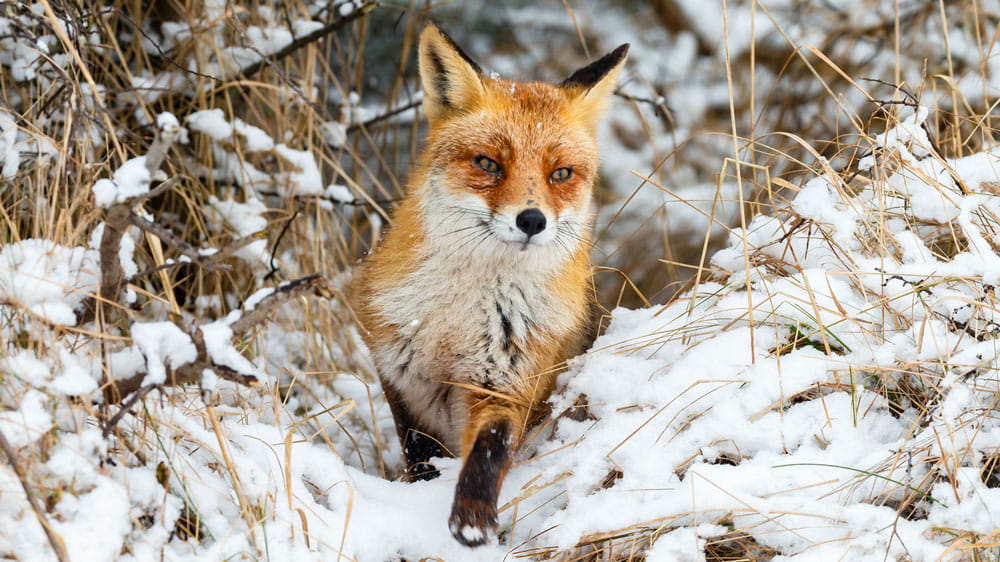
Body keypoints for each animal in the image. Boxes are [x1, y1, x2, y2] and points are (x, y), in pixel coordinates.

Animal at [350, 23, 628, 547]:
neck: (457, 318)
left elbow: (491, 449)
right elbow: (418, 453)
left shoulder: (509, 381)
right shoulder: (398, 374)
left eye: (561, 173)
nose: (532, 220)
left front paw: (472, 519)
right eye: (488, 164)